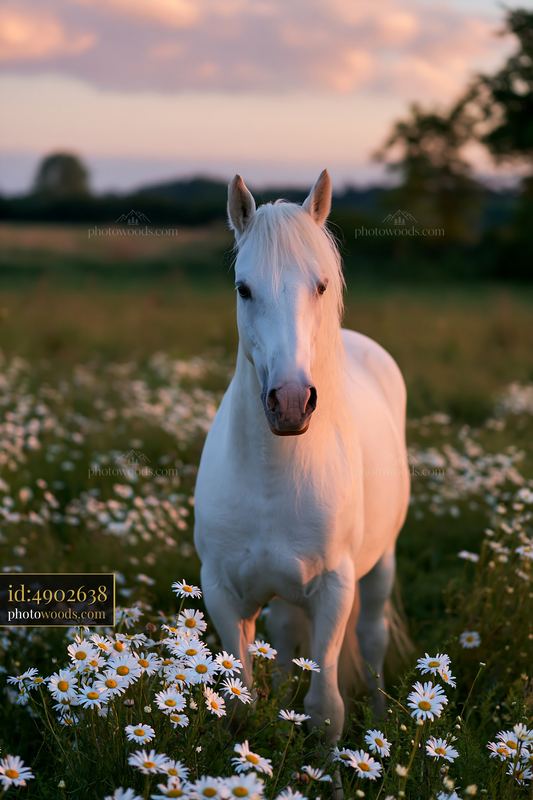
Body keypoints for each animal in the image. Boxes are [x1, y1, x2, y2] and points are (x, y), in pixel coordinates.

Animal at [194, 169, 410, 743]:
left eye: (321, 285)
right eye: (244, 288)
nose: (290, 402)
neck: (272, 477)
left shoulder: (334, 588)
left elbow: (325, 708)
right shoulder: (222, 592)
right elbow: (241, 703)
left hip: (379, 566)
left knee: (373, 639)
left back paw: (381, 716)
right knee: (290, 634)